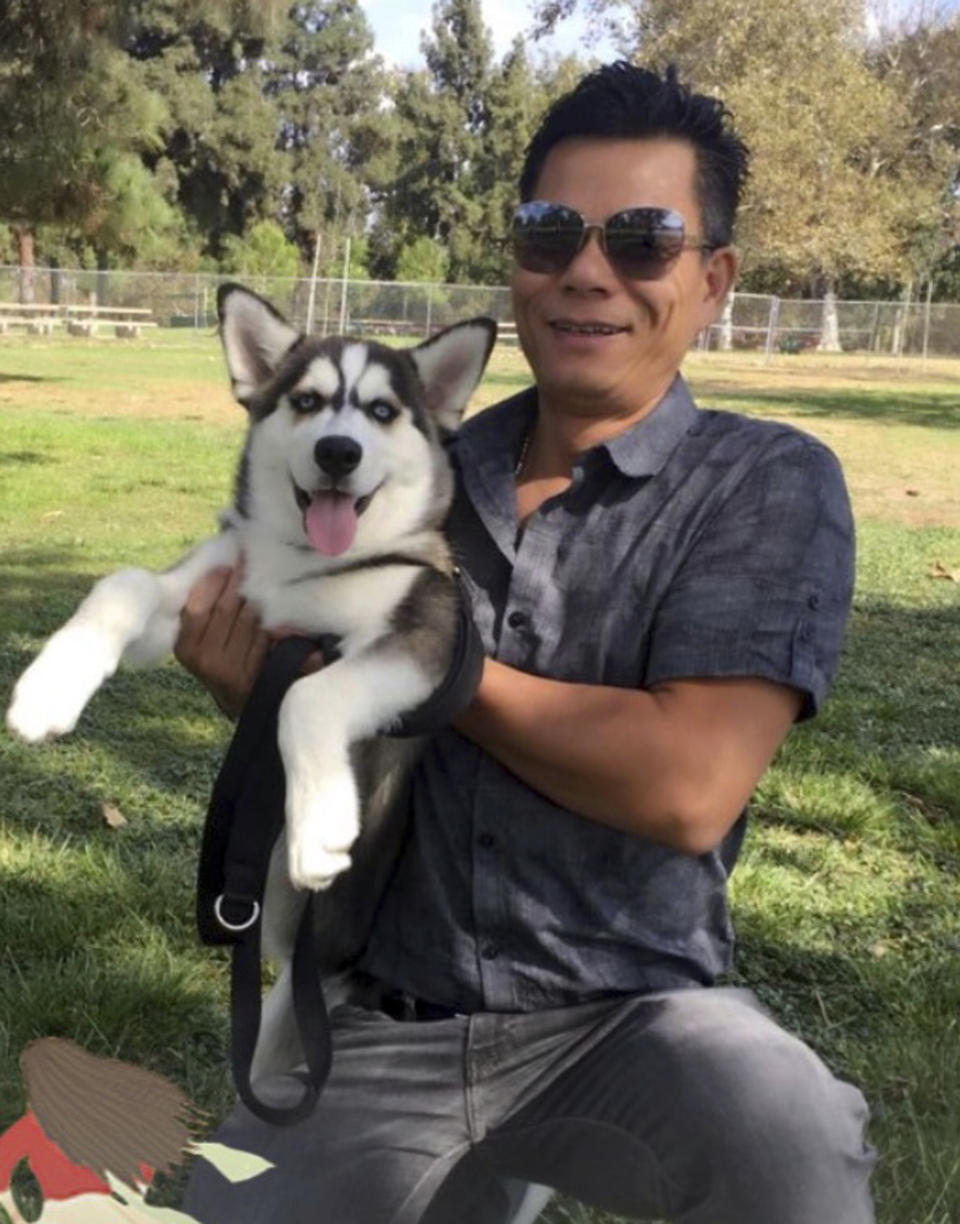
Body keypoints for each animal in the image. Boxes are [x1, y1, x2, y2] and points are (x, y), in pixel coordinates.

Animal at [7, 288, 499, 1091]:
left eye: (382, 411)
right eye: (307, 401)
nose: (338, 452)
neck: (300, 567)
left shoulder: (427, 641)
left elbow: (307, 697)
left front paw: (321, 823)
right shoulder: (209, 586)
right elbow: (124, 584)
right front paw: (47, 690)